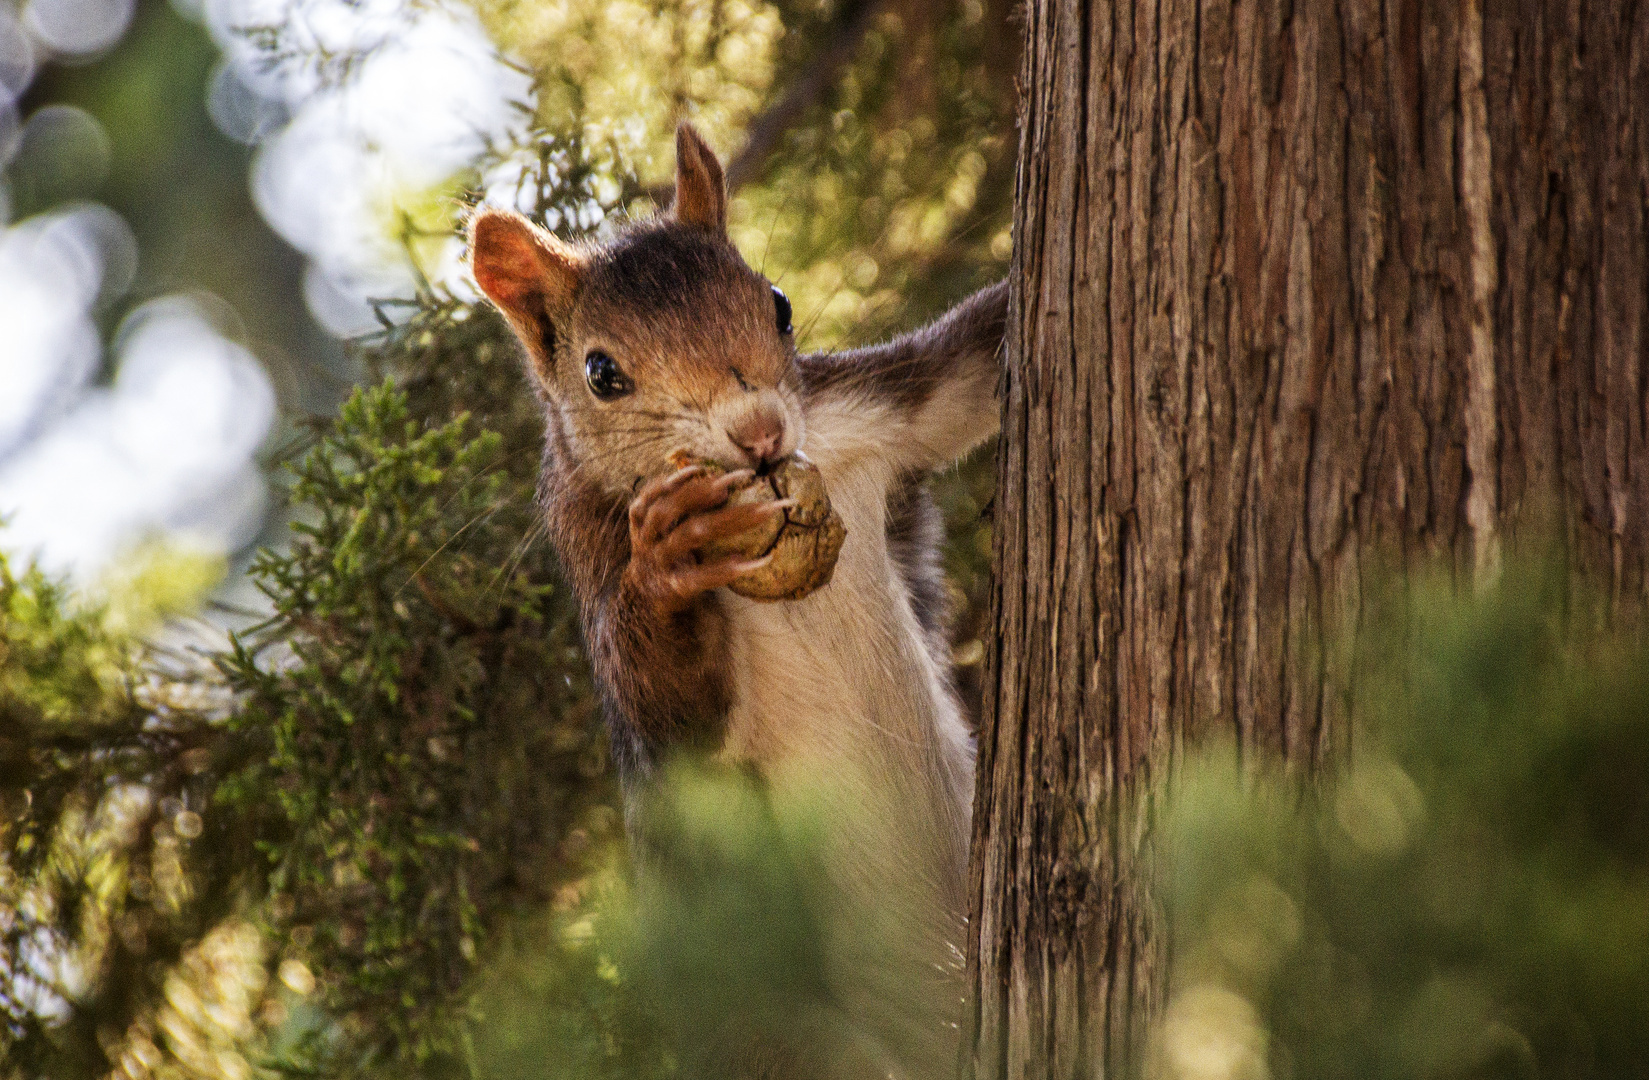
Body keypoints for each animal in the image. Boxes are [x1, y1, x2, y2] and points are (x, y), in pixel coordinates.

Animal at [465, 122, 1002, 1075]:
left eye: (778, 303)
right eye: (601, 372)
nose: (758, 432)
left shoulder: (868, 408)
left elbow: (969, 371)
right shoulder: (592, 554)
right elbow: (669, 708)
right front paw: (670, 555)